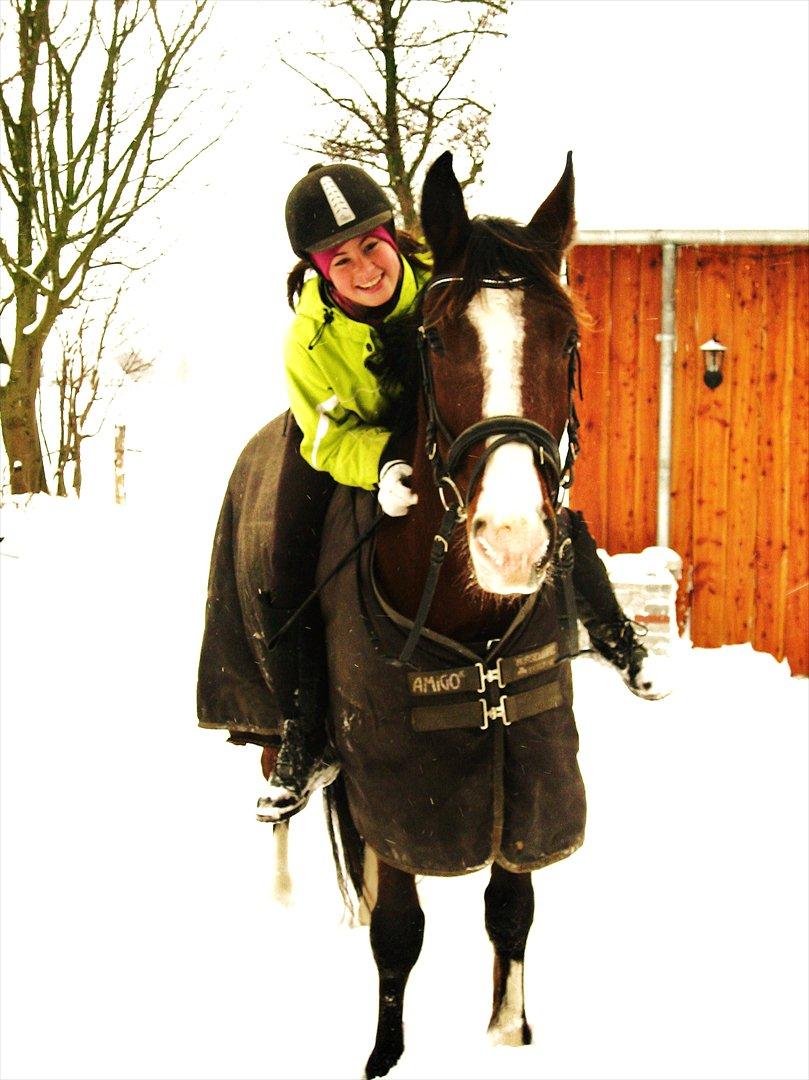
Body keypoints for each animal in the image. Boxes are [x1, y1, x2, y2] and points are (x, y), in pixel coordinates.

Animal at [313, 154, 583, 1080]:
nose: (510, 540)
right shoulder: (391, 789)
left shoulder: (521, 774)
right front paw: (384, 1057)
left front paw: (509, 1035)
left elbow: (511, 910)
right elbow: (398, 931)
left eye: (565, 339)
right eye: (433, 340)